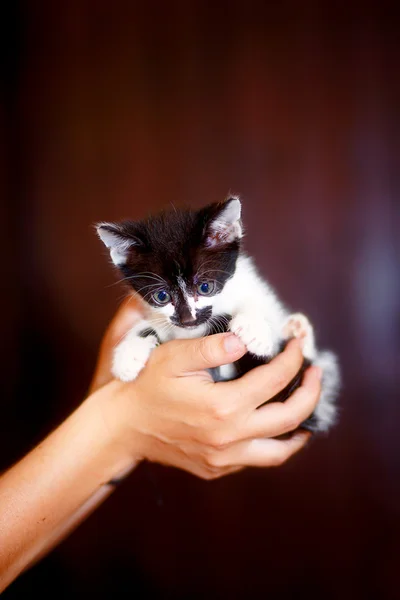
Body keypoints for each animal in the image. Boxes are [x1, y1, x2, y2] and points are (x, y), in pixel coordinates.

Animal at [96, 197, 338, 432]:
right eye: (161, 296)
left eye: (205, 287)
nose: (188, 320)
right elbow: (150, 325)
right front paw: (127, 356)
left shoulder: (251, 287)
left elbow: (255, 304)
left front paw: (254, 329)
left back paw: (298, 330)